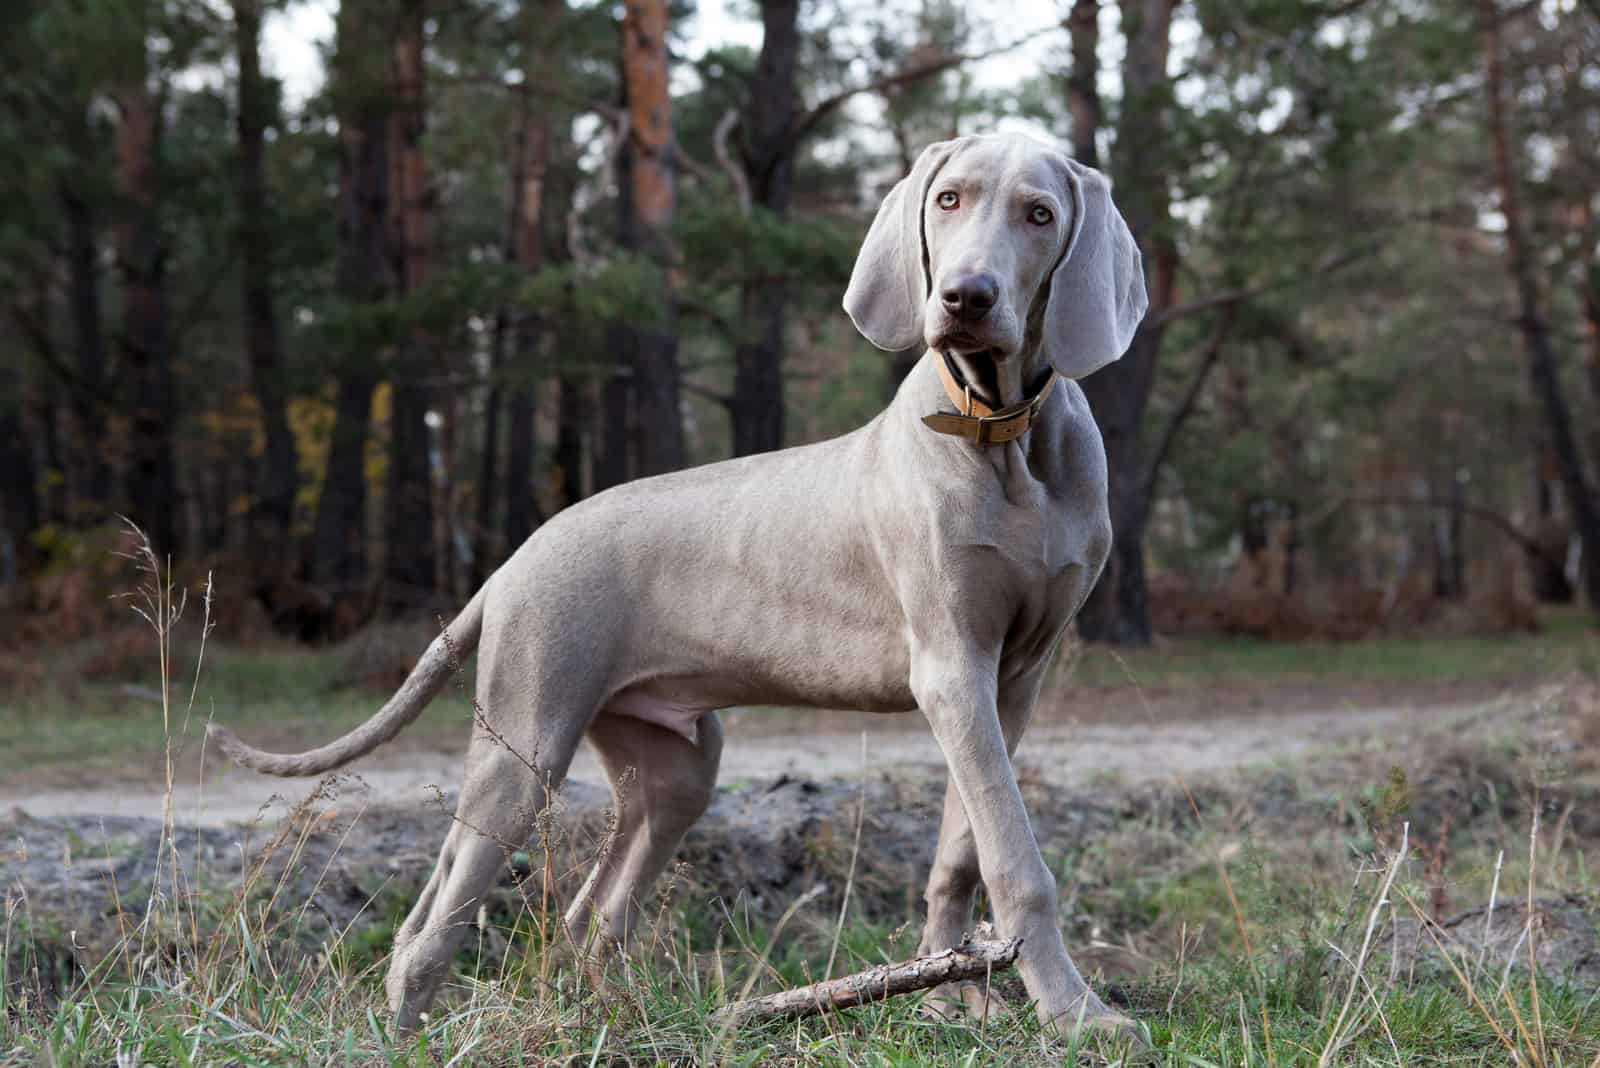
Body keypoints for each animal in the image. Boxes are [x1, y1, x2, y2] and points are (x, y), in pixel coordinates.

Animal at [212, 129, 1152, 1036]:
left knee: (587, 913)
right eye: (949, 199)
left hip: (672, 766)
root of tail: (514, 559)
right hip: (526, 743)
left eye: (1038, 214)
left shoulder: (1012, 678)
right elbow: (1016, 858)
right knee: (437, 925)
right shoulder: (952, 667)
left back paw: (616, 1021)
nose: (965, 297)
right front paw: (1076, 1016)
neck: (1001, 431)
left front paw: (959, 999)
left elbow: (965, 846)